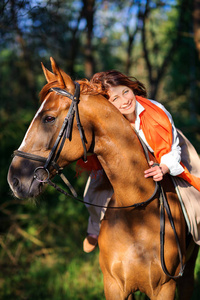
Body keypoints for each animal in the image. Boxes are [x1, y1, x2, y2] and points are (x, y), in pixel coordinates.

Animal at [7, 57, 198, 298]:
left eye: (49, 118)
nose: (14, 179)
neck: (138, 213)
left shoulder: (165, 288)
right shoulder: (114, 286)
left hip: (187, 272)